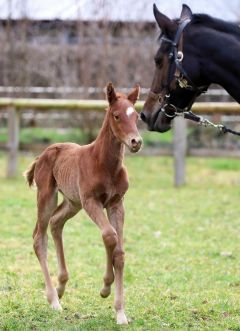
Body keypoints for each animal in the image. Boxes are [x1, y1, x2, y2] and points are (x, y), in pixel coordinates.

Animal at [24, 83, 142, 324]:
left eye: (136, 116)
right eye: (116, 115)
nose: (136, 142)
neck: (104, 164)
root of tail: (43, 154)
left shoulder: (117, 203)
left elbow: (119, 252)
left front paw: (120, 313)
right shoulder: (91, 201)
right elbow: (109, 236)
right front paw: (105, 287)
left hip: (72, 202)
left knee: (56, 223)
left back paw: (61, 286)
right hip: (48, 196)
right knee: (39, 238)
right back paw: (54, 299)